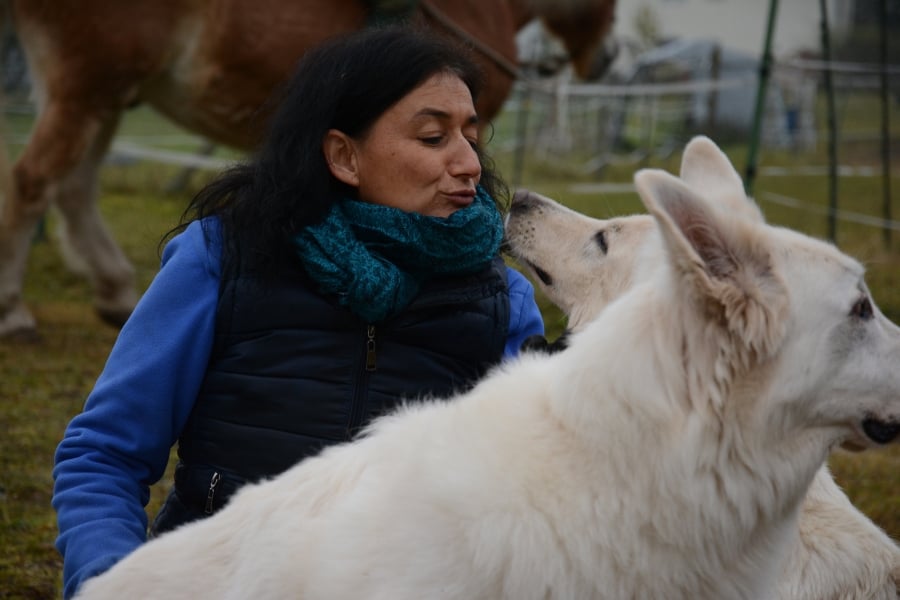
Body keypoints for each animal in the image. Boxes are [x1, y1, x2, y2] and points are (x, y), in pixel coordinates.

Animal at [0, 0, 616, 338]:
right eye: (434, 136)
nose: (609, 59)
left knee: (73, 186)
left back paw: (114, 290)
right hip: (89, 83)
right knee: (34, 180)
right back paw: (14, 310)